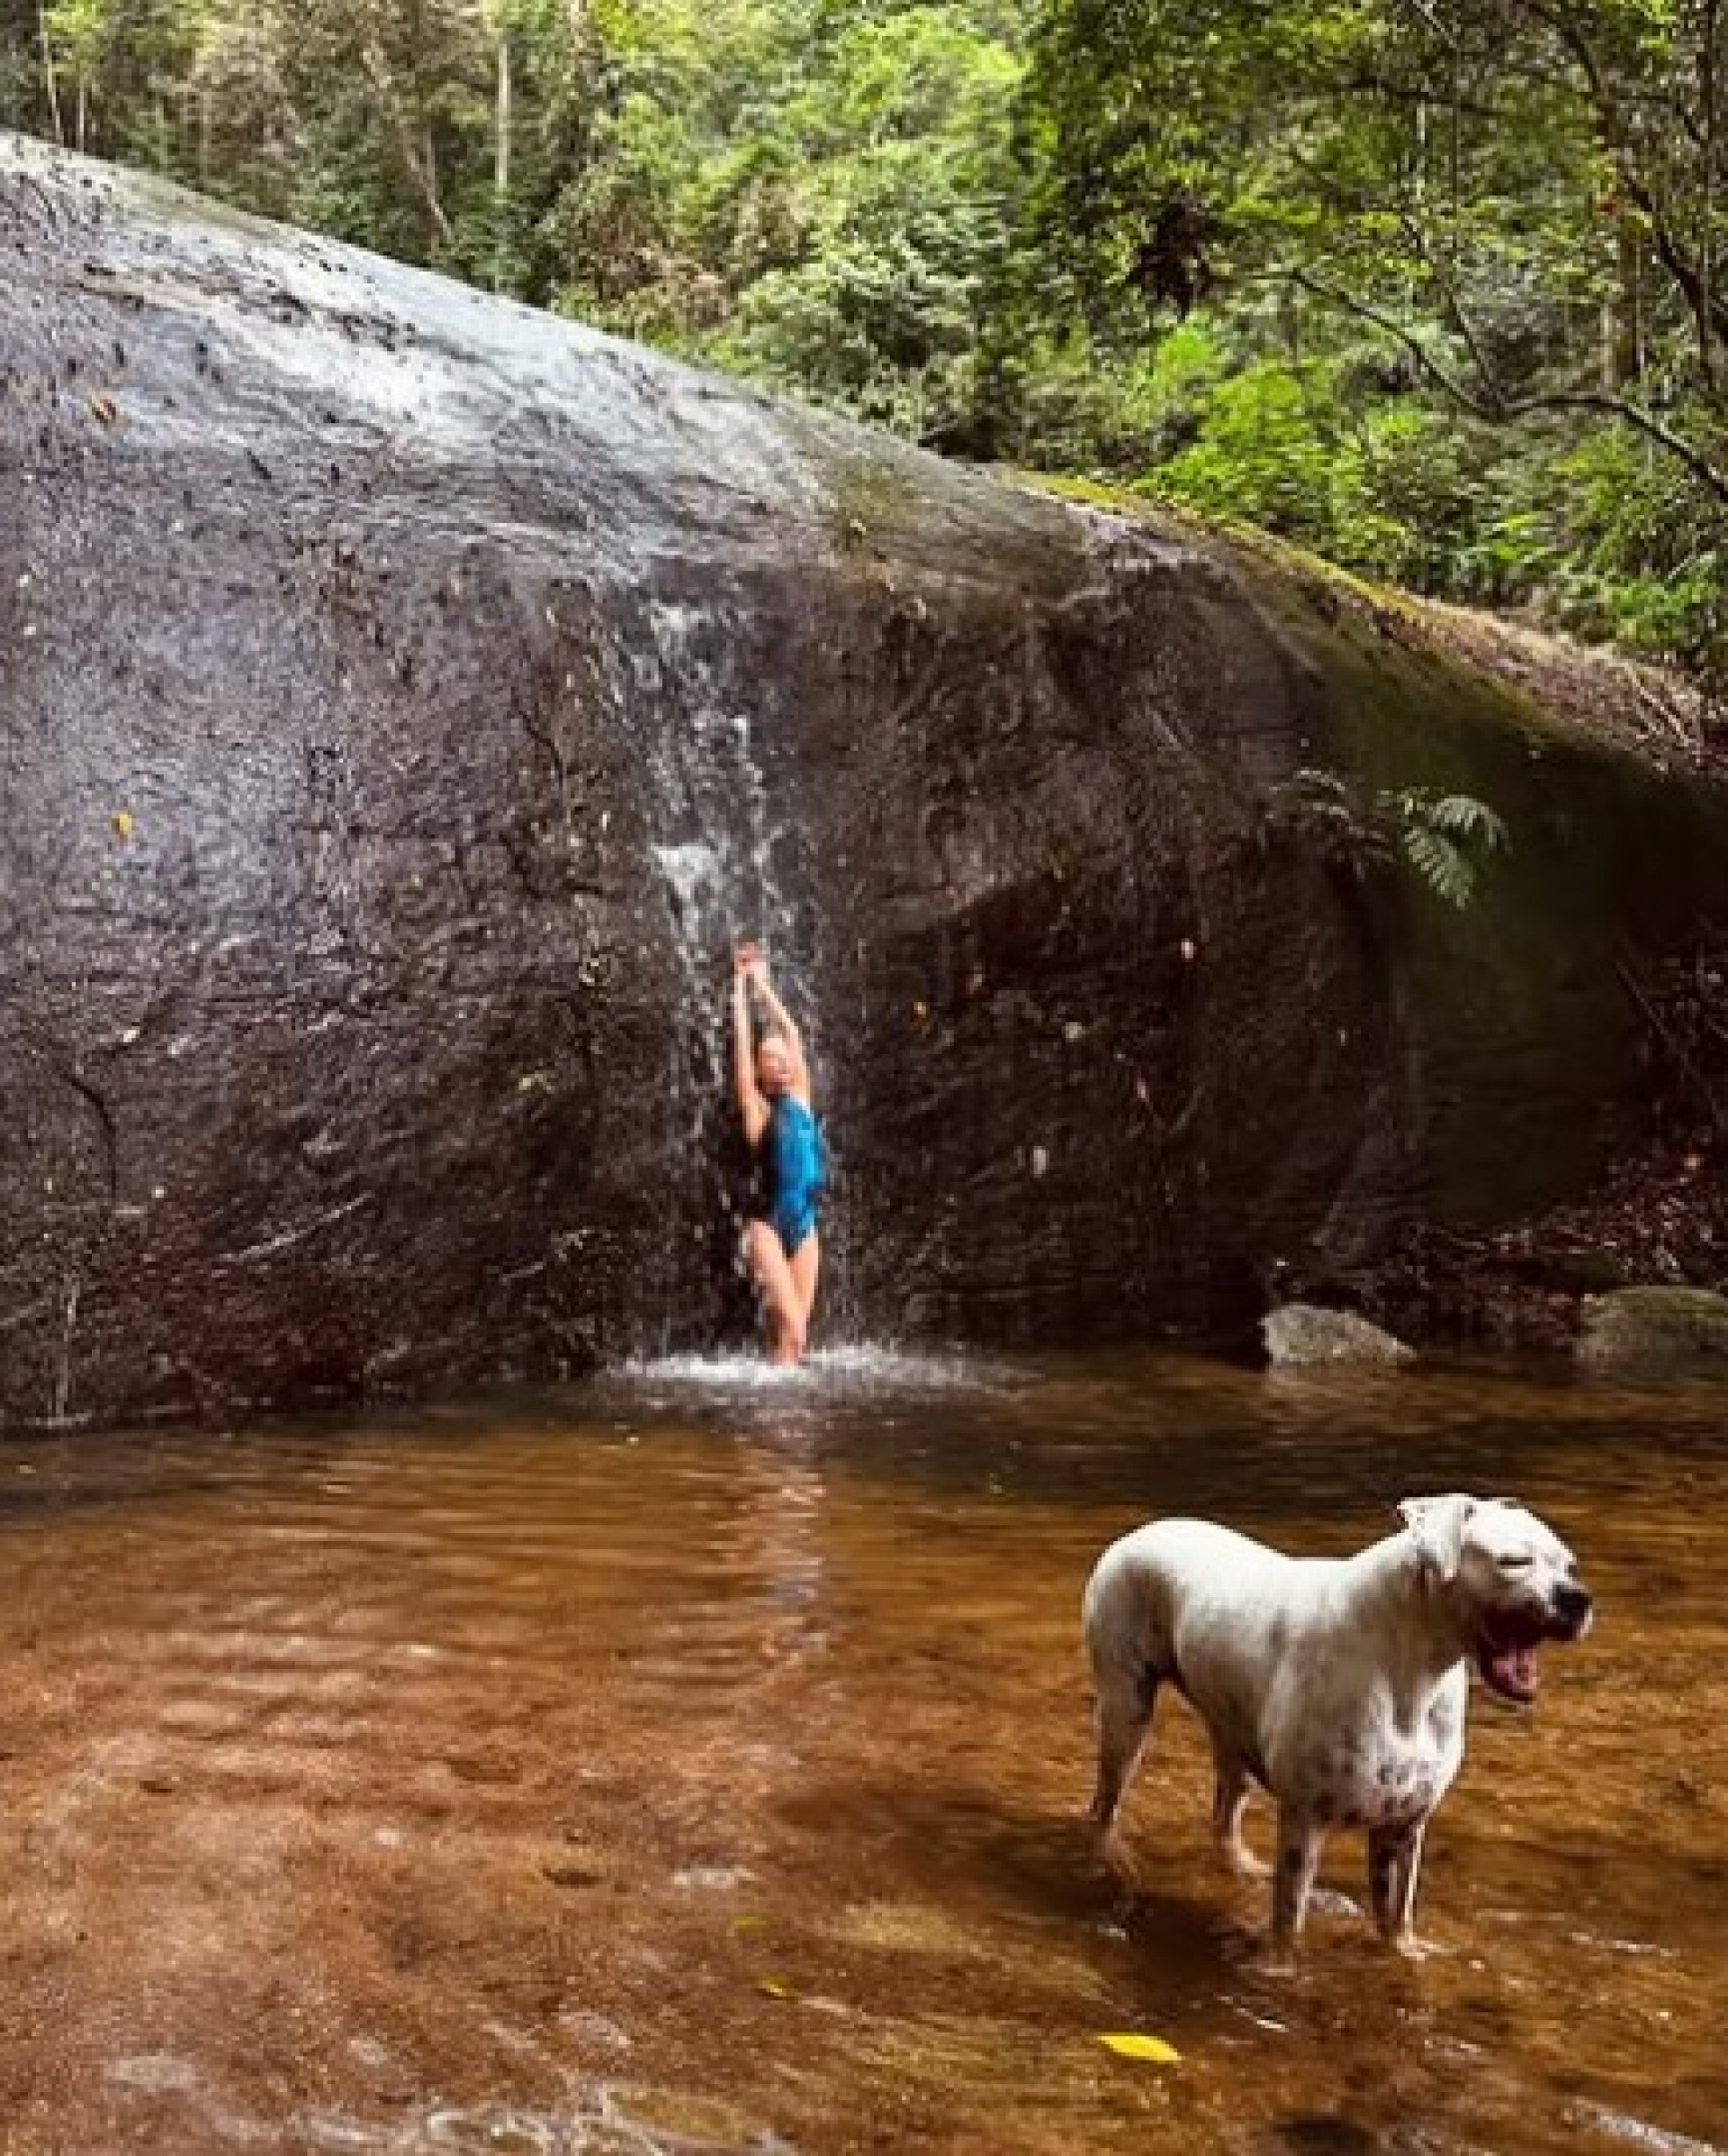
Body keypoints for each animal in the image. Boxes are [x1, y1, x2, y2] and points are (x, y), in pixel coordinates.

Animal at [1077, 1500, 1585, 1957]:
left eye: (1569, 1564)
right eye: (1513, 1561)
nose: (1578, 1598)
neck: (1410, 1671)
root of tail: (1143, 1530)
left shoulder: (1404, 1828)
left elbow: (1395, 1917)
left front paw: (1405, 1955)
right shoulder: (1305, 1822)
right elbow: (1289, 1924)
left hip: (1232, 1738)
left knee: (1224, 1816)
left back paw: (1242, 1866)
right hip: (1127, 1716)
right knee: (1105, 1805)